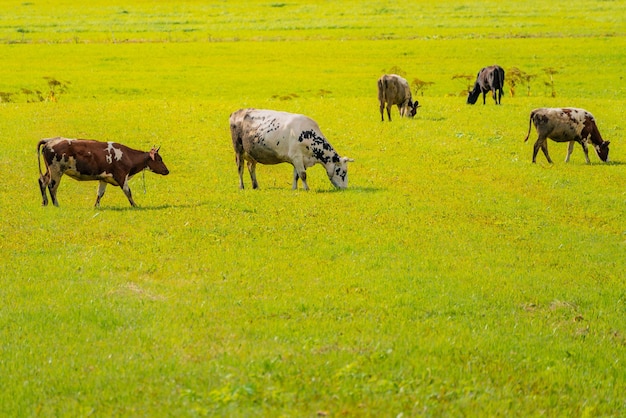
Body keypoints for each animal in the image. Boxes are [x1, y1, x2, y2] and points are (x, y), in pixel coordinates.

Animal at [36, 137, 168, 207]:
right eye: (159, 159)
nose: (167, 171)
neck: (127, 156)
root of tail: (50, 140)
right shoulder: (121, 176)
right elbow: (128, 192)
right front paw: (135, 205)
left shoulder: (104, 179)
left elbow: (100, 193)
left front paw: (96, 206)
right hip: (56, 171)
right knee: (52, 186)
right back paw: (56, 204)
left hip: (50, 170)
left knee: (42, 181)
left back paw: (45, 202)